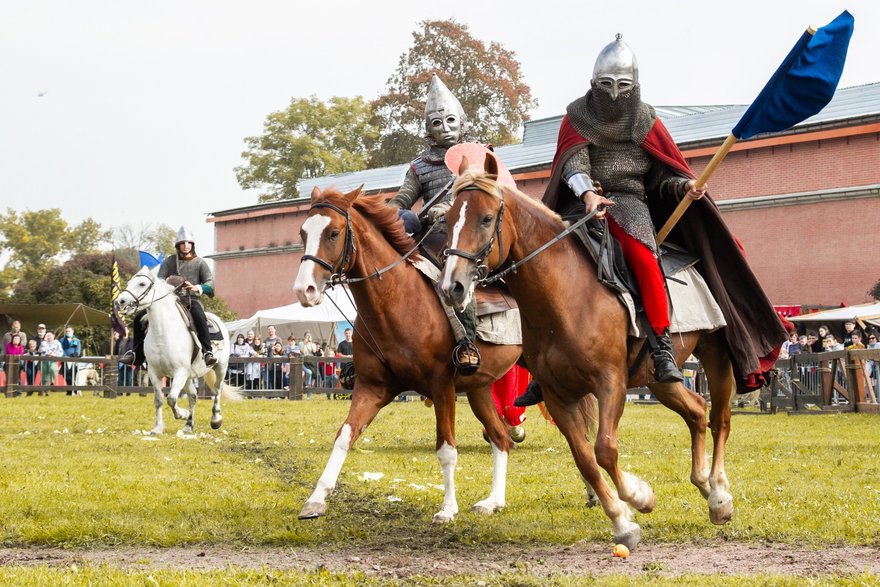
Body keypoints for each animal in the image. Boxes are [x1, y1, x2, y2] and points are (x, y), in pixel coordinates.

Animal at [112, 266, 241, 436]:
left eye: (142, 284)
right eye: (129, 283)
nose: (120, 302)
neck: (163, 332)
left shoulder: (180, 371)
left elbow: (172, 398)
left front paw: (182, 413)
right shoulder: (154, 372)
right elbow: (159, 400)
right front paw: (158, 427)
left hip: (220, 367)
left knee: (217, 391)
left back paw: (215, 419)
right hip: (189, 375)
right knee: (193, 396)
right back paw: (188, 426)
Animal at [294, 185, 524, 524]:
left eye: (334, 233)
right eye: (303, 233)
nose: (304, 290)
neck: (397, 299)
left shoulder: (442, 387)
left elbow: (446, 449)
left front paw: (447, 508)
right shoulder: (372, 388)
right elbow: (344, 435)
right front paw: (316, 499)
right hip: (480, 389)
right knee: (500, 438)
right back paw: (493, 501)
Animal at [438, 156, 736, 552]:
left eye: (486, 218)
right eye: (449, 218)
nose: (451, 287)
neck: (565, 294)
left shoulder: (610, 382)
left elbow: (605, 449)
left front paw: (638, 497)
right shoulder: (557, 394)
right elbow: (584, 458)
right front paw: (622, 519)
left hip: (715, 353)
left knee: (719, 418)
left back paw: (718, 495)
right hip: (659, 379)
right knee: (696, 411)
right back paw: (704, 484)